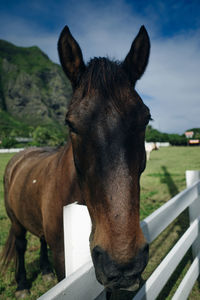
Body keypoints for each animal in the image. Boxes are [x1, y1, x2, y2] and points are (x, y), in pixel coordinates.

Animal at [0, 24, 151, 296]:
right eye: (71, 124)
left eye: (146, 118)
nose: (123, 263)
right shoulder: (63, 259)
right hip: (15, 221)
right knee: (20, 244)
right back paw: (22, 284)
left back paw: (44, 271)